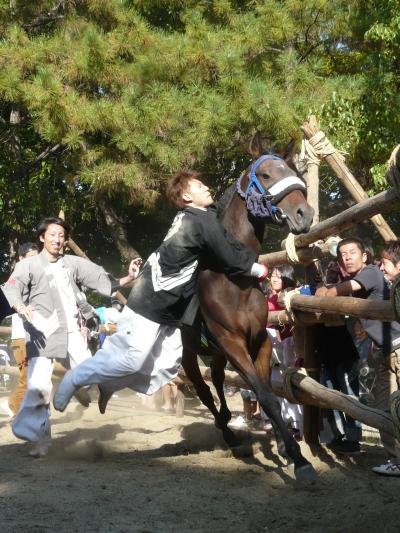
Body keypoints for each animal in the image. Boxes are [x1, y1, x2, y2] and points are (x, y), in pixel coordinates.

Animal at [180, 137, 318, 482]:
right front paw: (299, 459)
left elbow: (268, 392)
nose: (304, 214)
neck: (234, 278)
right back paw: (228, 434)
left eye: (294, 171)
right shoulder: (233, 343)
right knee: (203, 389)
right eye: (266, 175)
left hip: (215, 352)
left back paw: (227, 420)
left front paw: (284, 446)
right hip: (189, 353)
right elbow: (263, 395)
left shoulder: (260, 340)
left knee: (217, 379)